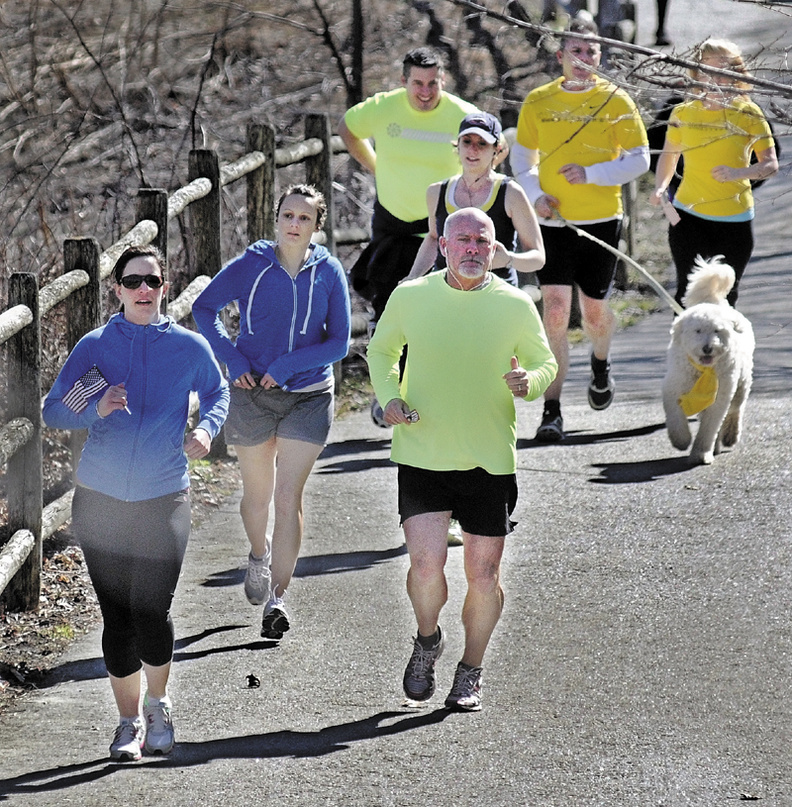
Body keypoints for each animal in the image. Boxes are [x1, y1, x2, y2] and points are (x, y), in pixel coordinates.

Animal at [664, 256, 756, 464]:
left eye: (717, 331)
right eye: (697, 331)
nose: (708, 348)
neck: (701, 369)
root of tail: (716, 303)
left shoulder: (720, 396)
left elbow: (710, 427)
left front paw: (700, 453)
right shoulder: (674, 388)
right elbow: (675, 418)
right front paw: (682, 440)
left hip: (741, 383)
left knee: (735, 409)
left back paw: (730, 435)